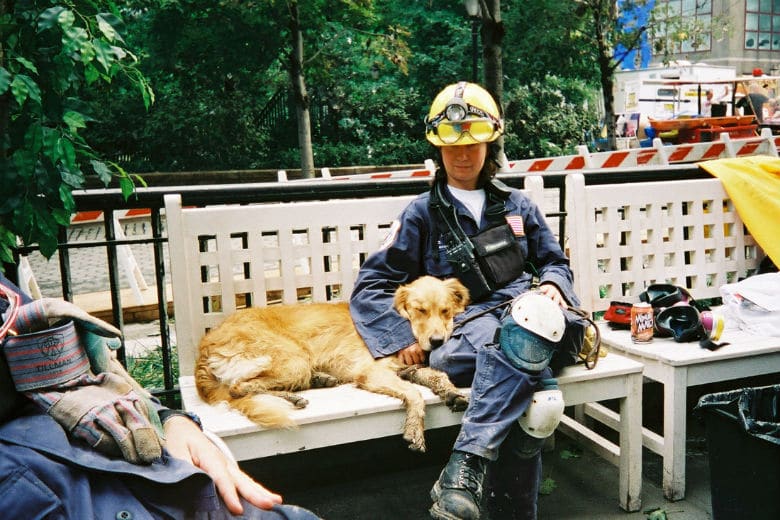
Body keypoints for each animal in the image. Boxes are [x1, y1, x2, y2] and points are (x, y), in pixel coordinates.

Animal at [195, 276, 470, 450]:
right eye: (420, 310)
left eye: (445, 311)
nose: (437, 341)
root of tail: (206, 343)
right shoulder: (372, 372)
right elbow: (415, 394)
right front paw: (414, 428)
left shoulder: (408, 369)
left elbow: (438, 376)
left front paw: (452, 392)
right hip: (294, 360)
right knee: (239, 387)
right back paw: (294, 395)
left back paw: (317, 381)